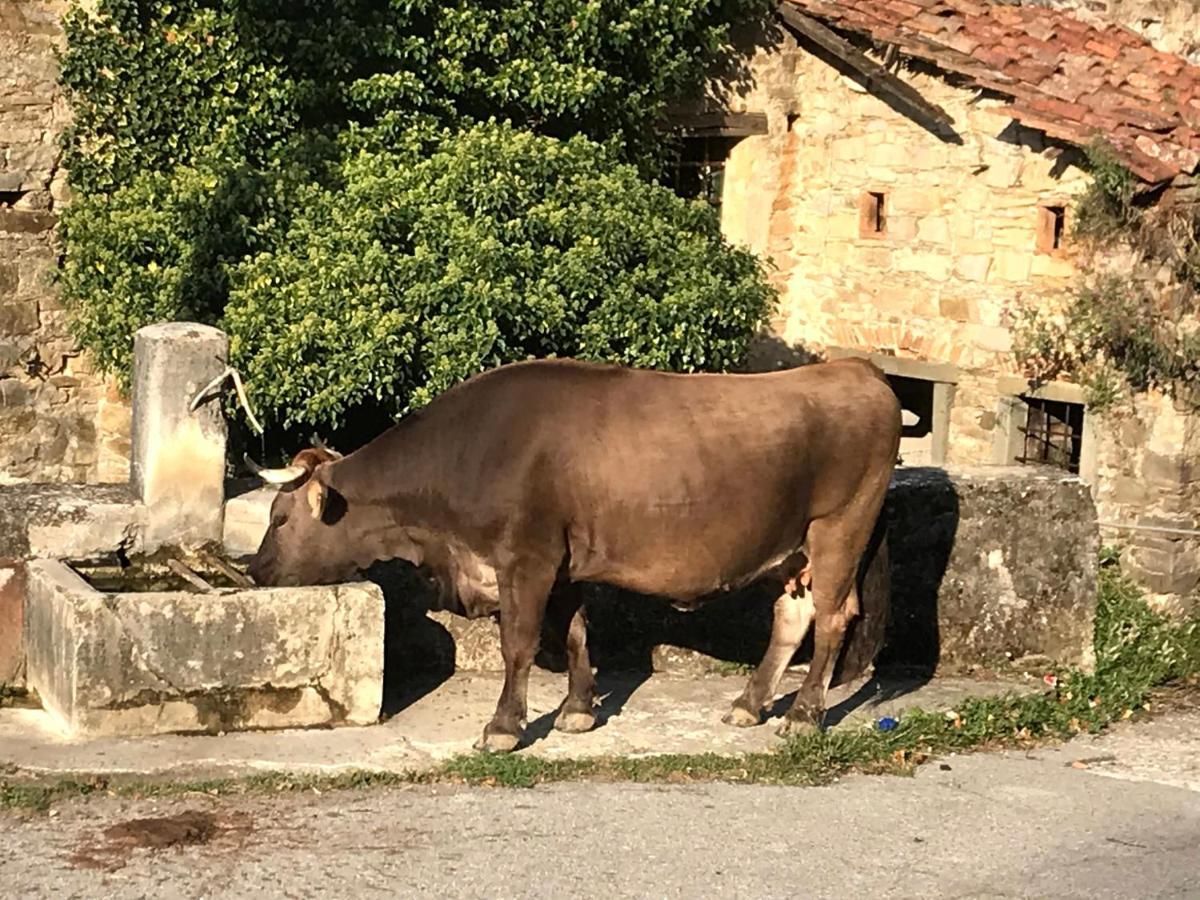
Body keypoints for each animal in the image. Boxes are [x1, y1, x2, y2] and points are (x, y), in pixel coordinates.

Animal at [246, 360, 902, 753]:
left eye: (279, 519)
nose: (255, 570)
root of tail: (854, 368)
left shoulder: (527, 559)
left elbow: (519, 644)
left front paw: (504, 727)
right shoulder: (561, 564)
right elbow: (577, 633)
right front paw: (579, 709)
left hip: (839, 528)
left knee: (834, 617)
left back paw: (804, 713)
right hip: (792, 548)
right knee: (794, 616)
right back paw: (749, 703)